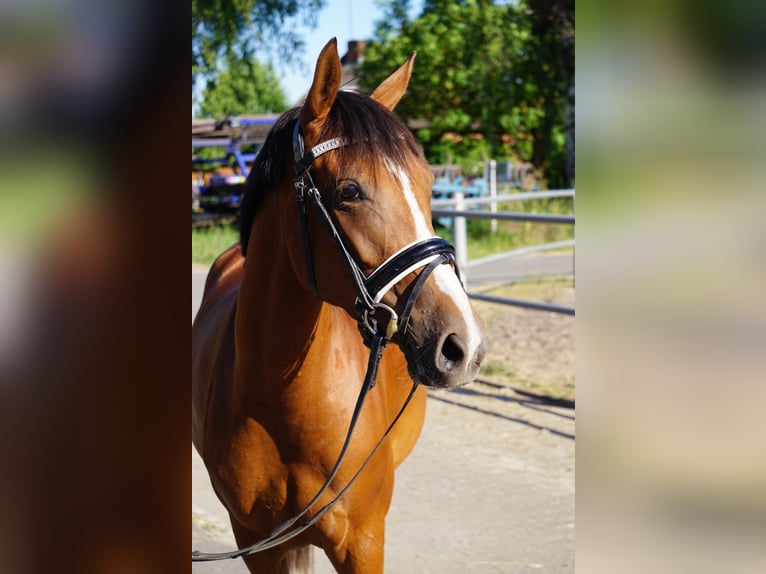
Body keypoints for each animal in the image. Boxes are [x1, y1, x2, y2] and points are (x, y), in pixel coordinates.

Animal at [195, 38, 488, 572]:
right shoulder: (255, 541)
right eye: (350, 191)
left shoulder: (363, 541)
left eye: (428, 183)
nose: (465, 344)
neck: (280, 401)